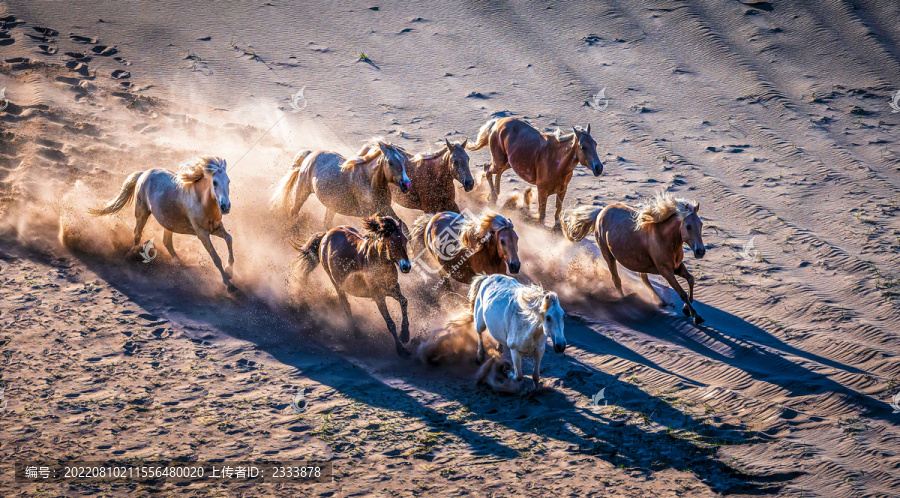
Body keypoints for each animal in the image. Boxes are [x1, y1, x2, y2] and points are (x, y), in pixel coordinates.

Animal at [90, 157, 237, 292]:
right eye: (214, 182)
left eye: (228, 182)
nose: (226, 207)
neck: (202, 202)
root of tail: (144, 173)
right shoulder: (202, 234)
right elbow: (216, 258)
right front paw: (229, 285)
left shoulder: (216, 228)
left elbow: (229, 239)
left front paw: (229, 271)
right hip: (142, 212)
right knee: (137, 233)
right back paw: (134, 254)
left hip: (168, 223)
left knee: (167, 242)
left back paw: (180, 264)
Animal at [268, 139, 414, 231]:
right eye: (390, 162)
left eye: (402, 160)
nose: (406, 184)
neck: (370, 182)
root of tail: (310, 155)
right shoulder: (371, 213)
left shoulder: (385, 208)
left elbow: (403, 226)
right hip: (302, 191)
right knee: (293, 211)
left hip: (331, 205)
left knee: (327, 223)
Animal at [294, 216, 414, 356]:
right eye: (393, 242)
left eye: (405, 240)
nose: (406, 266)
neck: (376, 259)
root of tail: (326, 234)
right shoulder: (378, 296)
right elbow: (390, 323)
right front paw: (401, 350)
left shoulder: (393, 289)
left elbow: (404, 301)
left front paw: (405, 334)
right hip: (335, 282)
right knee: (345, 305)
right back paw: (357, 332)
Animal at [464, 117, 604, 231]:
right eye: (583, 146)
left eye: (595, 144)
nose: (599, 168)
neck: (557, 160)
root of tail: (497, 122)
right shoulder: (542, 190)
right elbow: (542, 214)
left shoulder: (562, 190)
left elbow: (558, 210)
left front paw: (557, 229)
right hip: (499, 160)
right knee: (487, 169)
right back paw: (492, 197)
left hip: (508, 162)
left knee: (495, 172)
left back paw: (495, 194)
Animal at [560, 191, 708, 322]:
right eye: (688, 226)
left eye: (701, 224)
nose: (700, 251)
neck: (664, 238)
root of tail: (600, 212)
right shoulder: (665, 270)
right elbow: (681, 292)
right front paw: (696, 316)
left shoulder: (677, 266)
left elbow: (691, 279)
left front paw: (687, 309)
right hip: (608, 256)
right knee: (616, 280)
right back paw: (625, 301)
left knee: (643, 278)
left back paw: (661, 301)